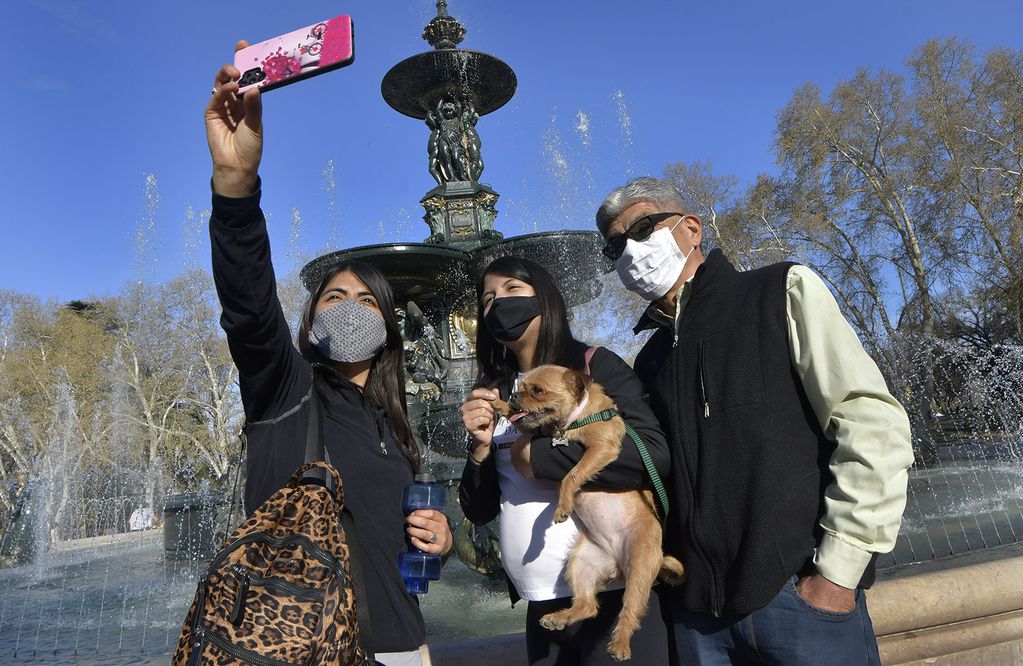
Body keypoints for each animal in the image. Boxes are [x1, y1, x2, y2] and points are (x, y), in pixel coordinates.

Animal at [491, 364, 683, 662]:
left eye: (538, 390)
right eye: (519, 388)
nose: (514, 396)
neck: (573, 419)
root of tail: (618, 566)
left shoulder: (601, 448)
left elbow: (572, 474)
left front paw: (563, 506)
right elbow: (527, 424)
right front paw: (499, 405)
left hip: (640, 569)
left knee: (630, 610)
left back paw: (620, 645)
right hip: (580, 564)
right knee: (588, 606)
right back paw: (559, 618)